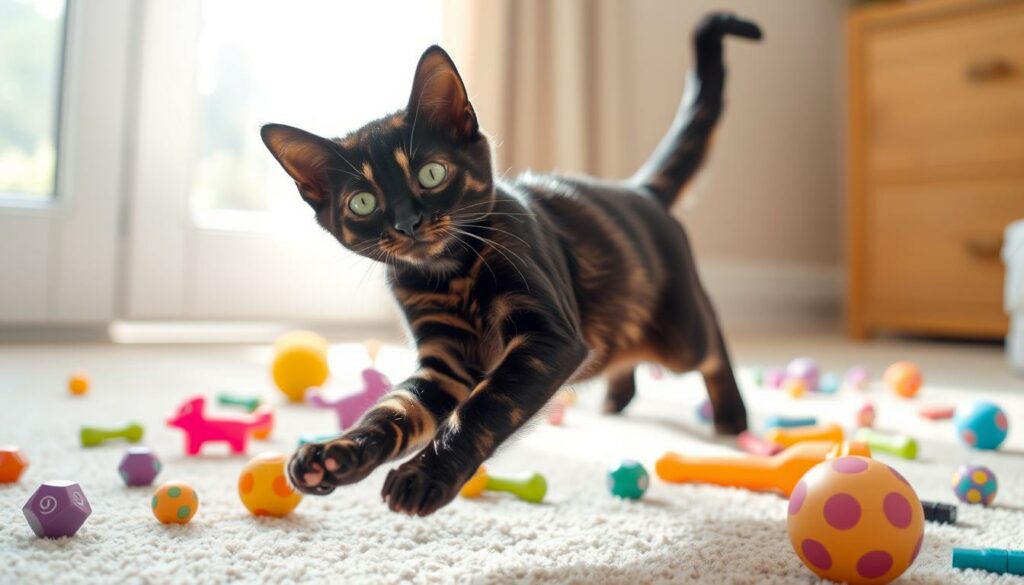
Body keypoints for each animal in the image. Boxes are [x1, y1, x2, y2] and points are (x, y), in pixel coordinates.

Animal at [260, 12, 765, 516]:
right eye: (362, 202)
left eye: (431, 173)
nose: (407, 223)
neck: (449, 277)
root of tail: (640, 189)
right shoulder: (442, 364)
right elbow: (390, 411)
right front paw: (334, 454)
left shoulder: (547, 339)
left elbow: (482, 409)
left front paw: (426, 475)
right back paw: (617, 396)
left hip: (680, 336)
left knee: (712, 342)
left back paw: (731, 413)